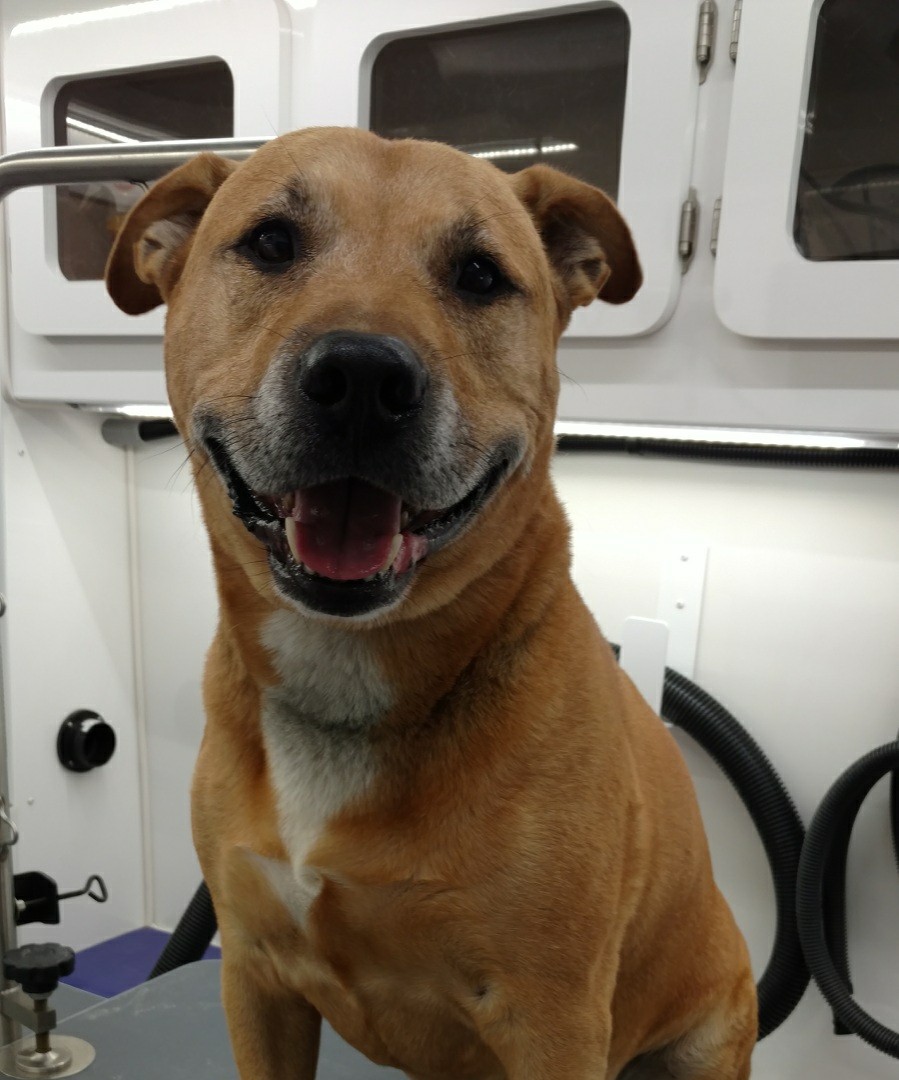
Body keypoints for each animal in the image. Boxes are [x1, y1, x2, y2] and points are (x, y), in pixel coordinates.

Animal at [106, 127, 756, 1079]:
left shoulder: (551, 1021)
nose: (361, 378)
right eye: (271, 242)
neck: (347, 677)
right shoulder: (254, 977)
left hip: (704, 1034)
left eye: (479, 275)